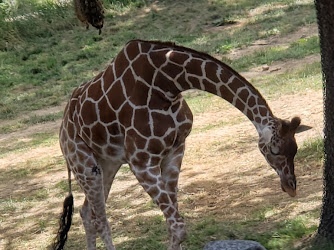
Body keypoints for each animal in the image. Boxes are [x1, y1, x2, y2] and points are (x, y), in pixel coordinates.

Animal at [53, 39, 302, 250]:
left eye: (295, 150)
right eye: (274, 150)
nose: (291, 187)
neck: (168, 83)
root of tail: (62, 130)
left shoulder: (175, 150)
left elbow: (173, 225)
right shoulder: (141, 162)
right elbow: (179, 227)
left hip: (106, 164)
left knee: (87, 212)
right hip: (84, 164)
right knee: (100, 218)